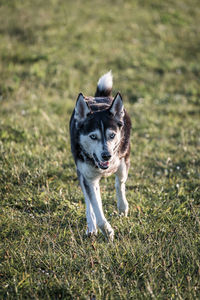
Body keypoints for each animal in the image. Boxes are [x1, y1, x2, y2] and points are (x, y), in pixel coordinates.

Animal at [70, 71, 131, 241]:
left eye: (112, 135)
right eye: (93, 136)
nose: (106, 156)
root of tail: (100, 97)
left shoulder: (122, 161)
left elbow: (119, 184)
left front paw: (121, 208)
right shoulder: (89, 178)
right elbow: (96, 206)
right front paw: (107, 230)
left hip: (124, 161)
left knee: (119, 182)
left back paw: (122, 207)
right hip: (81, 173)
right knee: (88, 201)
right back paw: (91, 227)